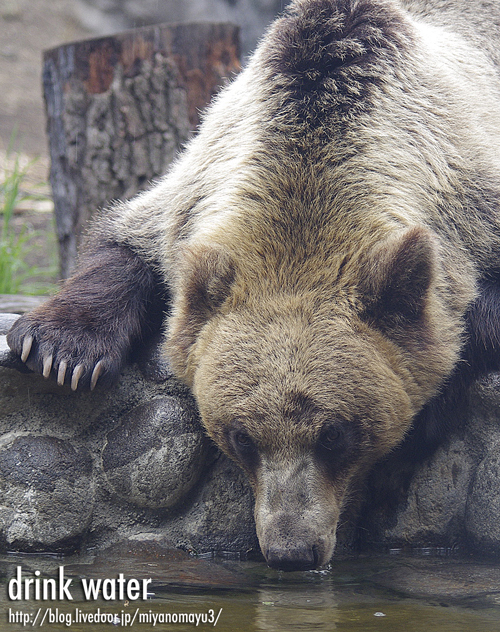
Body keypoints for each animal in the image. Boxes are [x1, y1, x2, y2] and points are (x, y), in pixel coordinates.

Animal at [7, 0, 500, 572]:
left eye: (335, 435)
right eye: (241, 437)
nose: (292, 550)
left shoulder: (472, 199)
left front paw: (428, 415)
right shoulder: (194, 189)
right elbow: (126, 246)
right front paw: (60, 352)